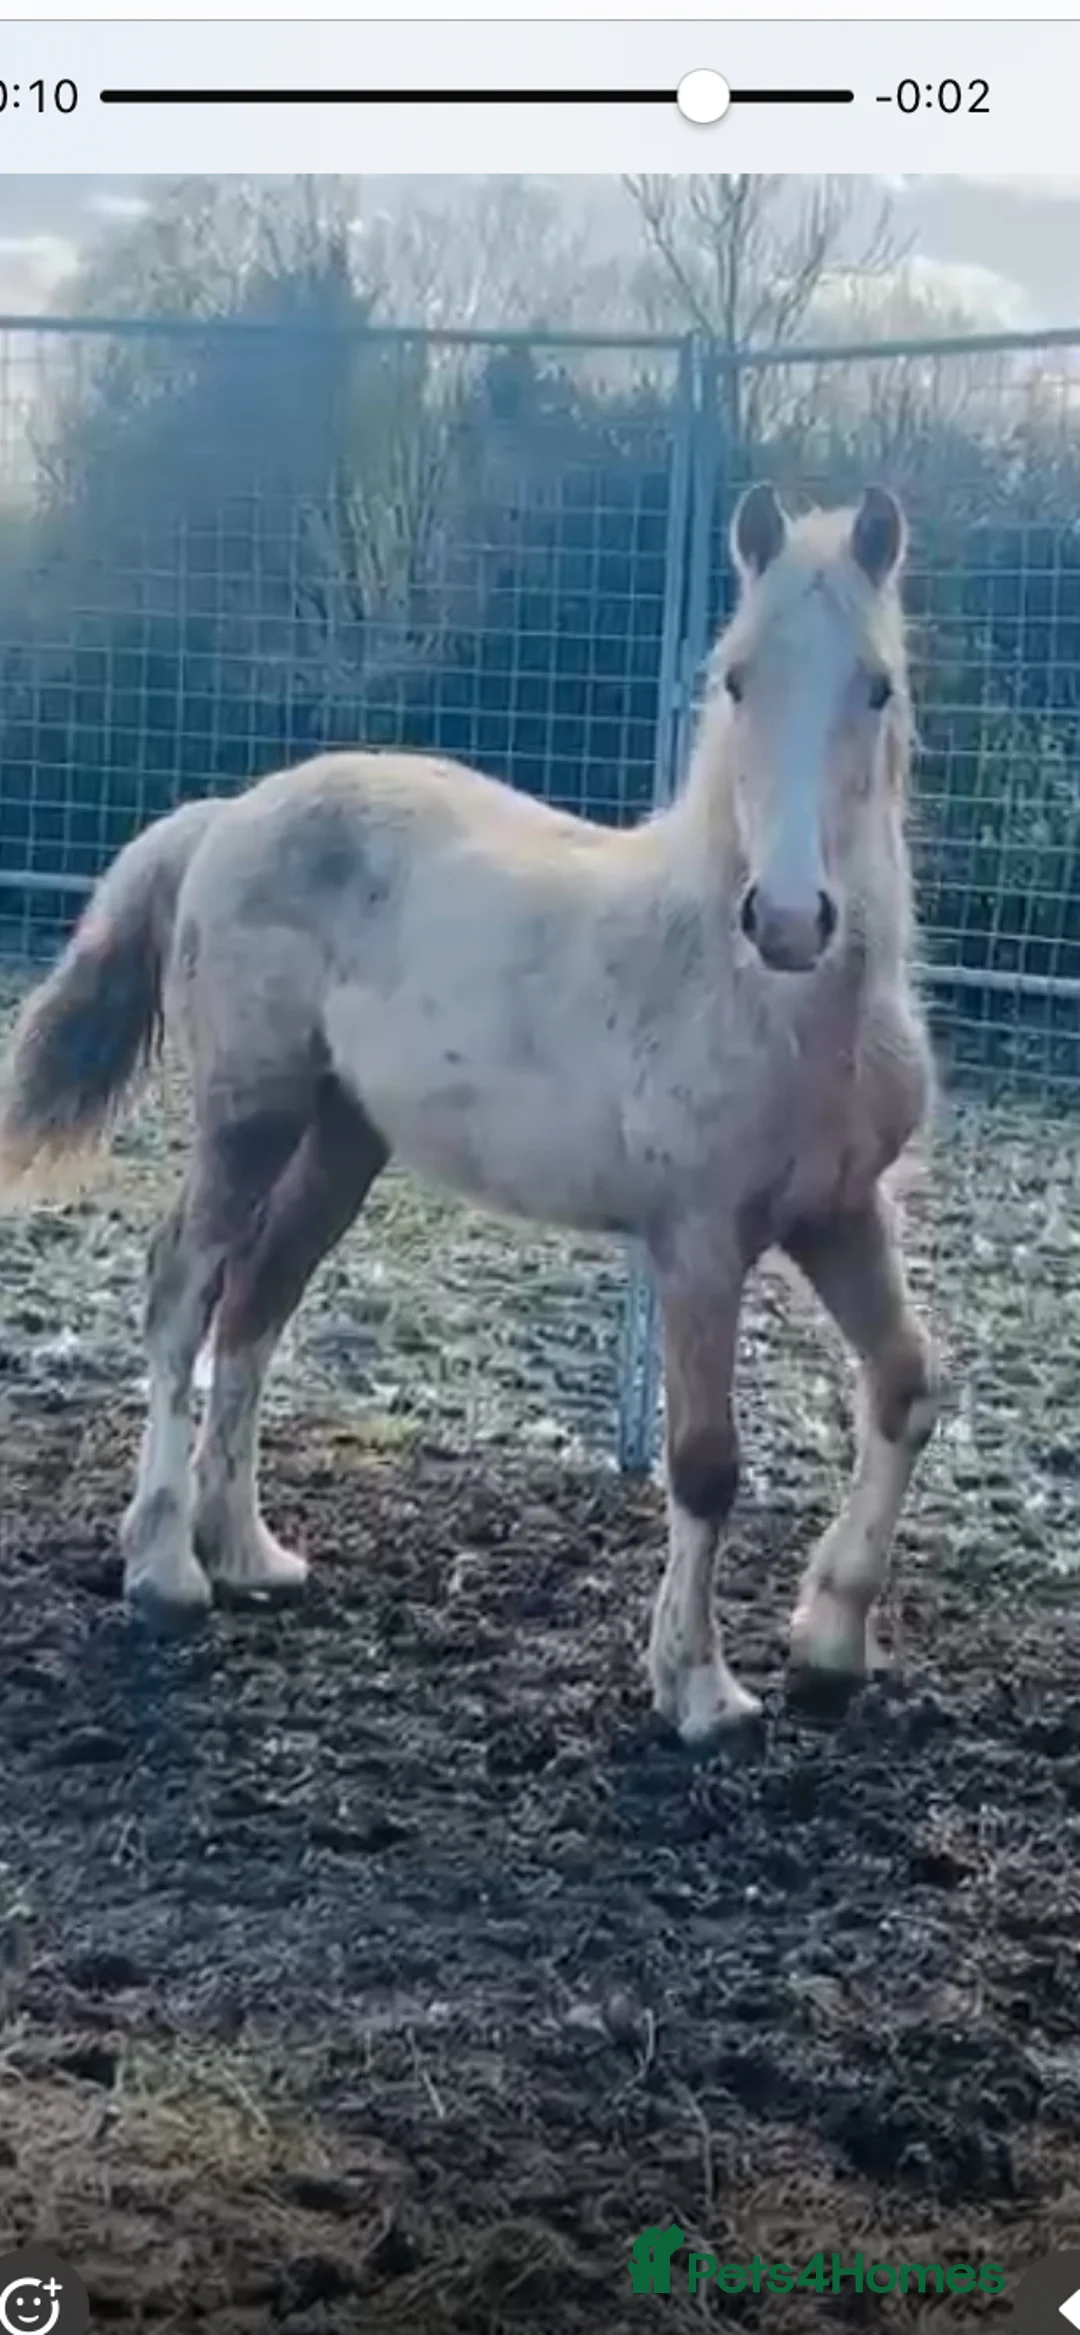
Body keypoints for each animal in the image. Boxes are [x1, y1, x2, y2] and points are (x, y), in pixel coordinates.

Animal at [0, 481, 940, 1745]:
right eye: (738, 677)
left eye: (877, 685)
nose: (790, 919)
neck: (770, 1000)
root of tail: (225, 814)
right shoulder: (698, 1242)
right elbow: (705, 1462)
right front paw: (700, 1689)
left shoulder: (840, 1213)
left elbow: (906, 1387)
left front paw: (831, 1645)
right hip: (249, 1112)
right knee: (184, 1289)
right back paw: (164, 1569)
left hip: (342, 1139)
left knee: (256, 1306)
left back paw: (249, 1553)